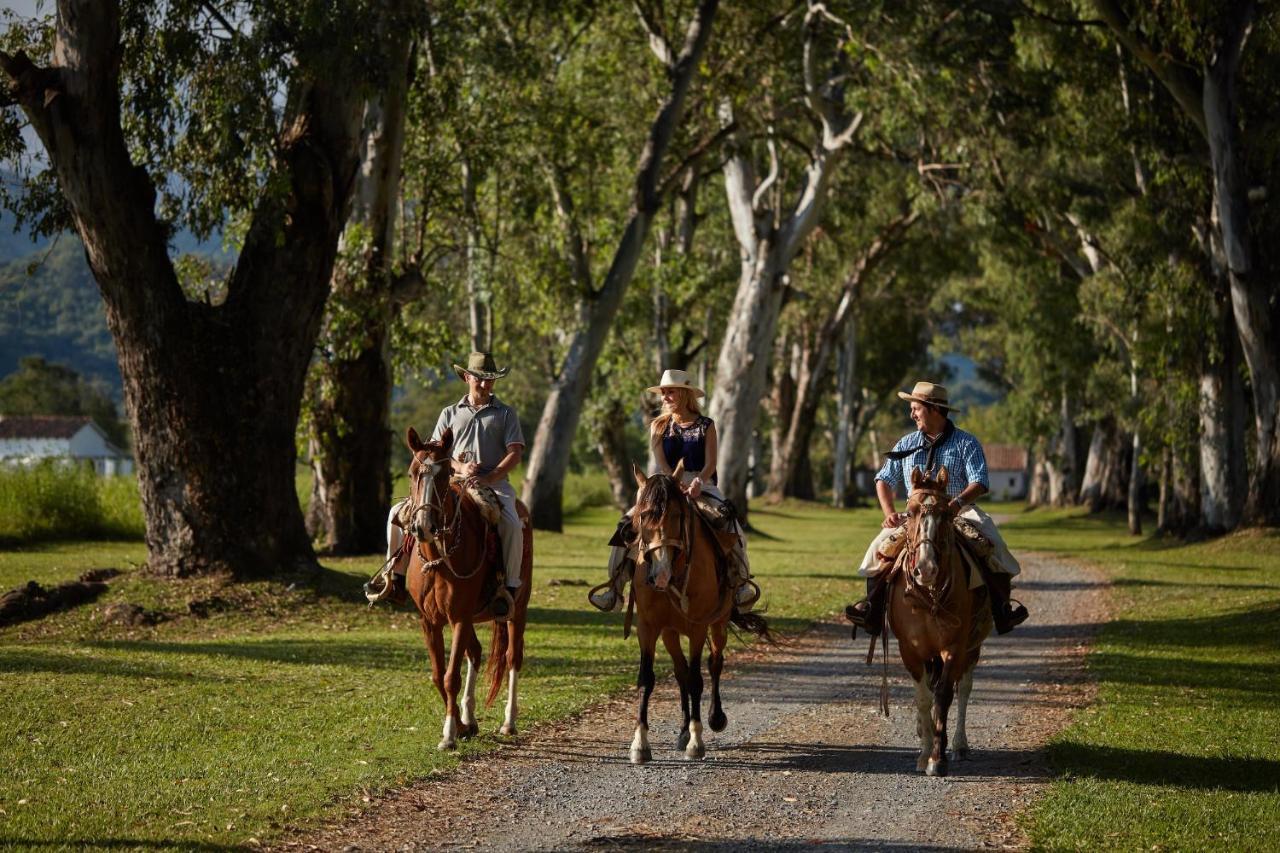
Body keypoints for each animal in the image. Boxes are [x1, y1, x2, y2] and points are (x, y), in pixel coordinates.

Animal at [399, 422, 529, 742]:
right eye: (412, 472)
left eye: (444, 474)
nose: (423, 526)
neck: (438, 560)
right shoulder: (430, 621)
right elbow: (439, 674)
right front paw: (460, 725)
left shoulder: (458, 617)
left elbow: (450, 676)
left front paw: (449, 734)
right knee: (476, 653)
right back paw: (469, 716)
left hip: (518, 609)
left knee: (512, 657)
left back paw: (509, 721)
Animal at [627, 461, 768, 758]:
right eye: (643, 516)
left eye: (678, 515)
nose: (660, 575)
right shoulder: (648, 626)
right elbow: (647, 678)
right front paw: (640, 744)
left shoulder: (698, 627)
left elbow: (696, 679)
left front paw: (696, 741)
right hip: (670, 632)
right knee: (681, 672)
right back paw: (682, 732)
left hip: (718, 623)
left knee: (714, 663)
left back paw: (715, 718)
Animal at [885, 461, 993, 773]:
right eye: (910, 512)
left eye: (945, 514)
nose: (926, 569)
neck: (928, 595)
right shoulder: (909, 649)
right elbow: (923, 698)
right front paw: (924, 754)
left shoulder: (955, 647)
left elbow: (944, 695)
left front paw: (938, 757)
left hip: (972, 647)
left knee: (963, 688)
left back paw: (957, 745)